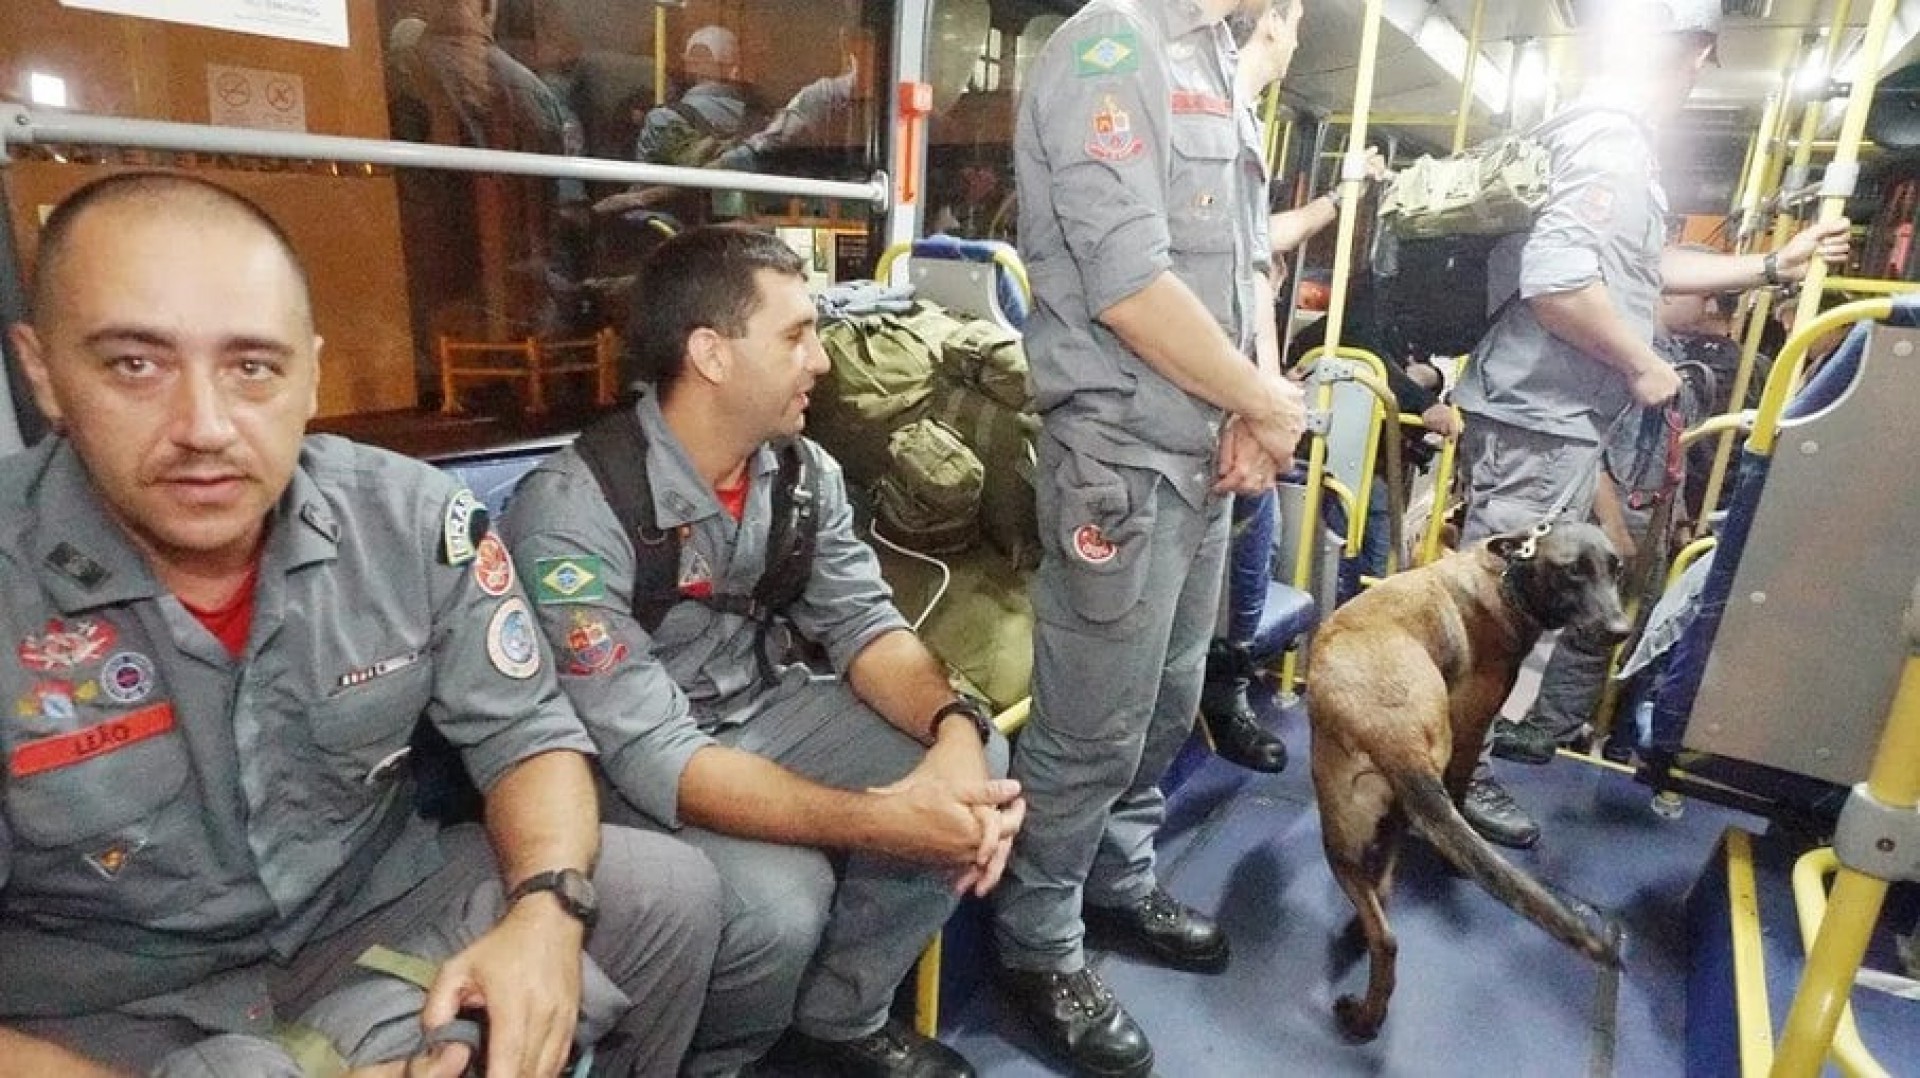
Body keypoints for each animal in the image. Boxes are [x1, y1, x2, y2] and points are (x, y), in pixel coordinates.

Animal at [1297, 518, 1628, 1037]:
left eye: (1616, 571)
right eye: (1573, 571)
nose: (1621, 630)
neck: (1506, 580)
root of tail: (1395, 738)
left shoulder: (1470, 728)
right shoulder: (1473, 726)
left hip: (1343, 835)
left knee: (1384, 924)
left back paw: (1365, 1010)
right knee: (1383, 907)